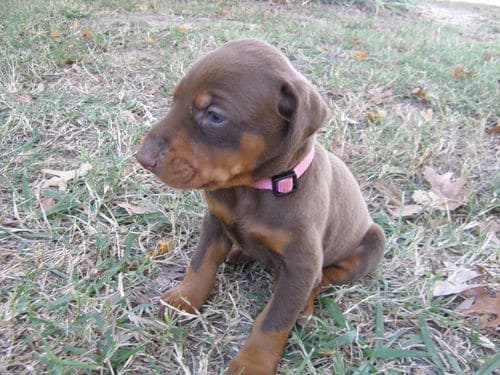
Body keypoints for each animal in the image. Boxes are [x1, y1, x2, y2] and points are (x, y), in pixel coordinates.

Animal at [137, 39, 386, 374]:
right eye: (175, 100)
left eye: (215, 116)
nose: (143, 158)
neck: (254, 188)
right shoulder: (215, 220)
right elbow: (200, 264)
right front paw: (184, 299)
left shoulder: (302, 263)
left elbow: (274, 320)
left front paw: (252, 362)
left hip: (372, 244)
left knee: (323, 279)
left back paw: (304, 306)